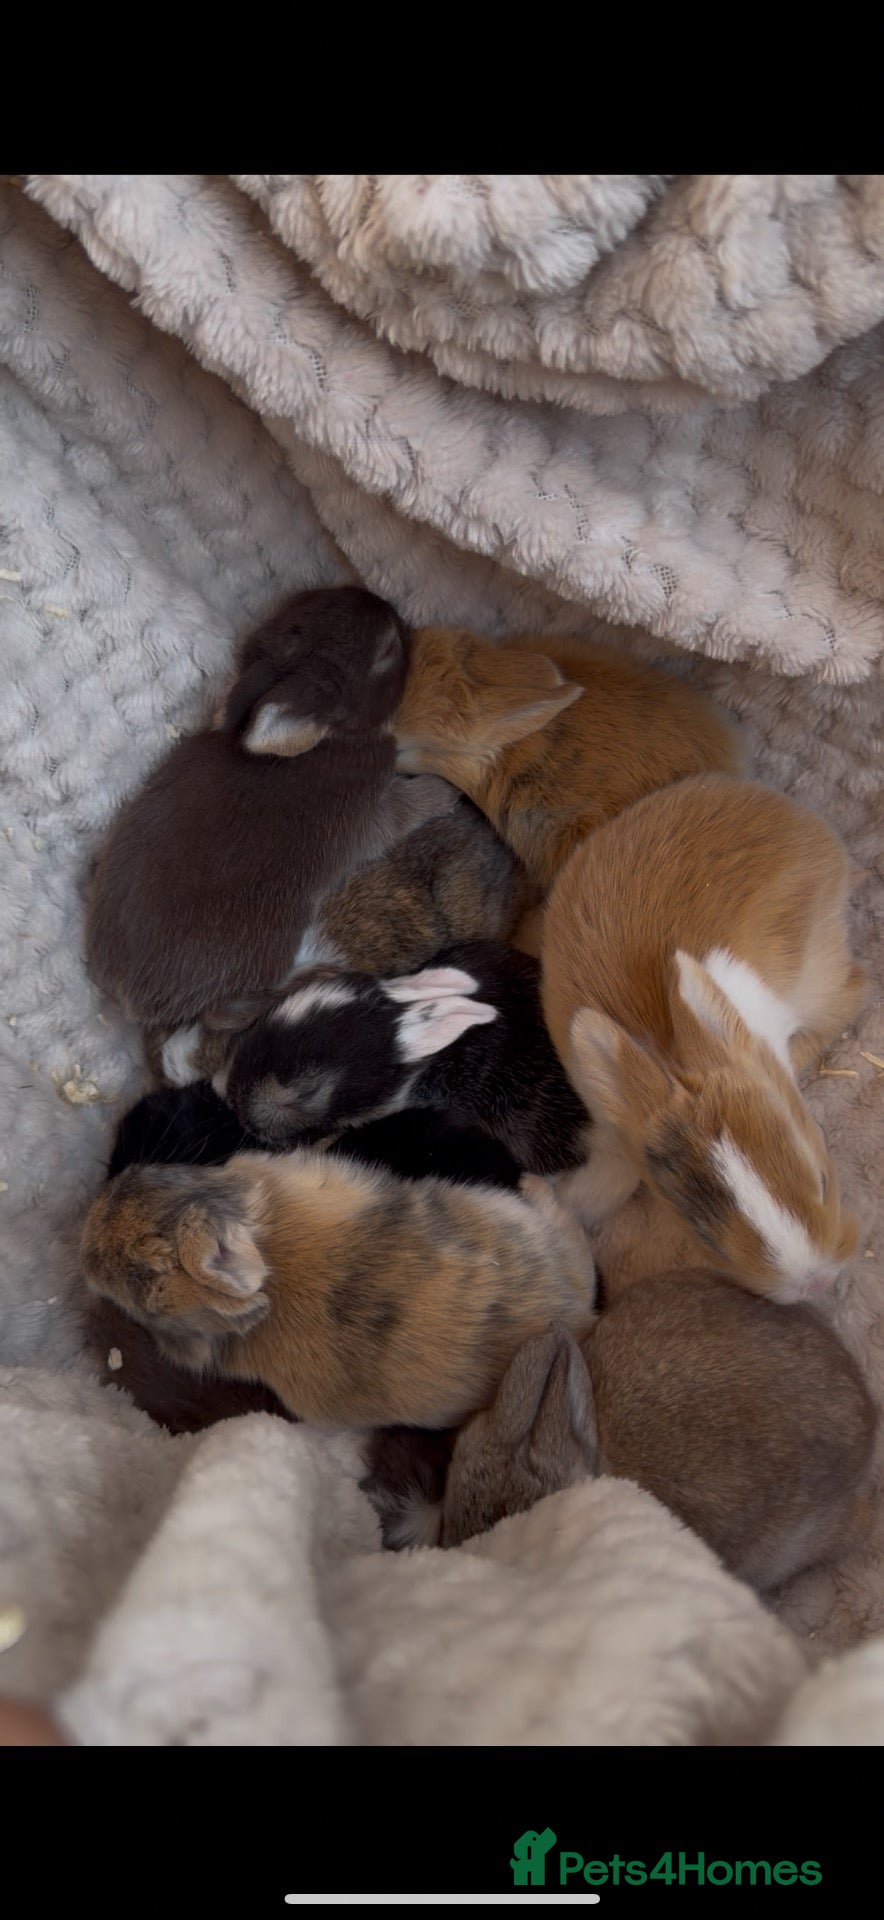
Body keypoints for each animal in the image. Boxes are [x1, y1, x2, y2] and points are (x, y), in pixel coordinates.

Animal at [85, 586, 456, 1034]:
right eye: (387, 647)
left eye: (310, 596)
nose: (386, 604)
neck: (330, 739)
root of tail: (127, 998)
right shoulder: (371, 814)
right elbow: (407, 809)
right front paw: (445, 792)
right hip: (271, 945)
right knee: (224, 1014)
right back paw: (314, 976)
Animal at [541, 773, 867, 1303]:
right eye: (707, 1242)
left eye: (823, 1181)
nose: (817, 1282)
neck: (667, 1056)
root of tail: (810, 827)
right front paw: (578, 1200)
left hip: (817, 977)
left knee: (855, 990)